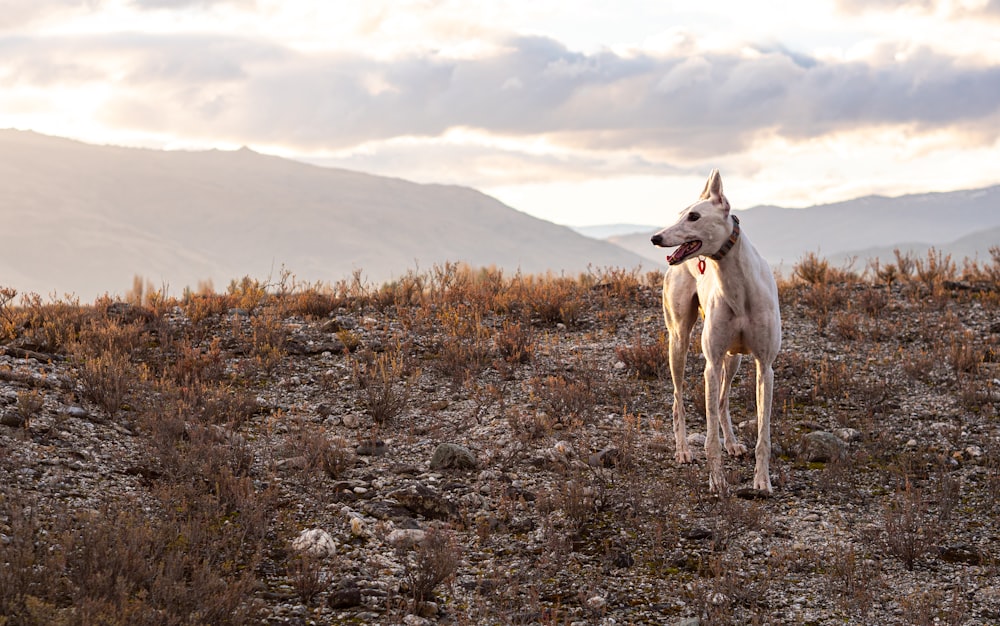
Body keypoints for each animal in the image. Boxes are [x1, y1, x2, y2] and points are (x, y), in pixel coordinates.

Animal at [648, 169, 780, 492]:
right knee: (678, 400)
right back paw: (683, 449)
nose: (656, 237)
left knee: (722, 401)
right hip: (679, 342)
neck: (740, 287)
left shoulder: (765, 366)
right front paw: (717, 481)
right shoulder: (711, 364)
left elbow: (763, 435)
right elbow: (709, 440)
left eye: (694, 216)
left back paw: (732, 443)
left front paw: (762, 480)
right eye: (680, 214)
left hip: (734, 357)